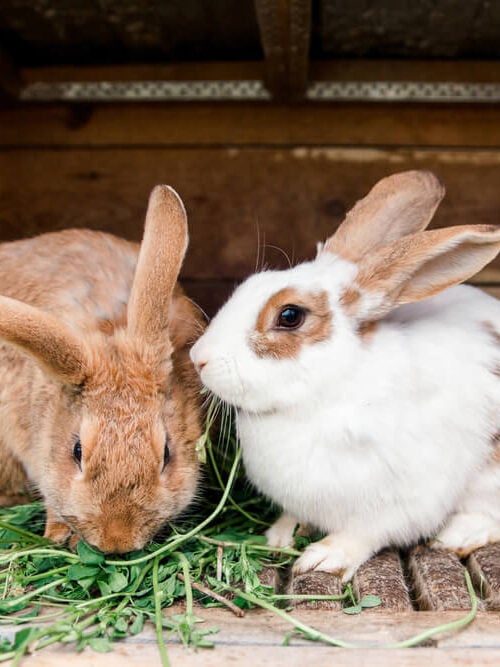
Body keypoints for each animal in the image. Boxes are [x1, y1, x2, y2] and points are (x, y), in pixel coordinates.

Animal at [190, 170, 500, 581]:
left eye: (290, 316)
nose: (198, 358)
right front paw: (281, 535)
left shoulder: (400, 502)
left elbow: (363, 534)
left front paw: (324, 558)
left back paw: (456, 535)